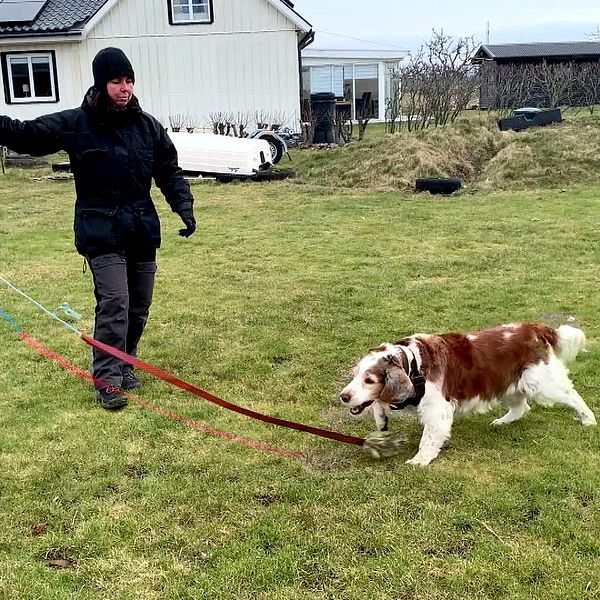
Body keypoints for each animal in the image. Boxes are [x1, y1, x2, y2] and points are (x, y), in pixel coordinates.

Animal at [340, 322, 596, 466]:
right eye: (355, 375)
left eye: (370, 380)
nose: (344, 396)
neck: (413, 364)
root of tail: (534, 328)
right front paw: (380, 419)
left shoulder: (438, 410)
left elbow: (428, 439)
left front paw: (420, 461)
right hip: (506, 383)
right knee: (522, 407)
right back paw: (502, 422)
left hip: (540, 382)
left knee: (572, 395)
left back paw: (588, 419)